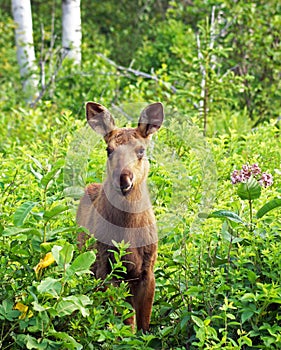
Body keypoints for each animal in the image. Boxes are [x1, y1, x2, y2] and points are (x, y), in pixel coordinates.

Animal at [76, 101, 164, 330]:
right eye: (109, 150)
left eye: (141, 150)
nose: (123, 179)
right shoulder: (106, 269)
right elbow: (123, 321)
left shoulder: (147, 272)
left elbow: (143, 325)